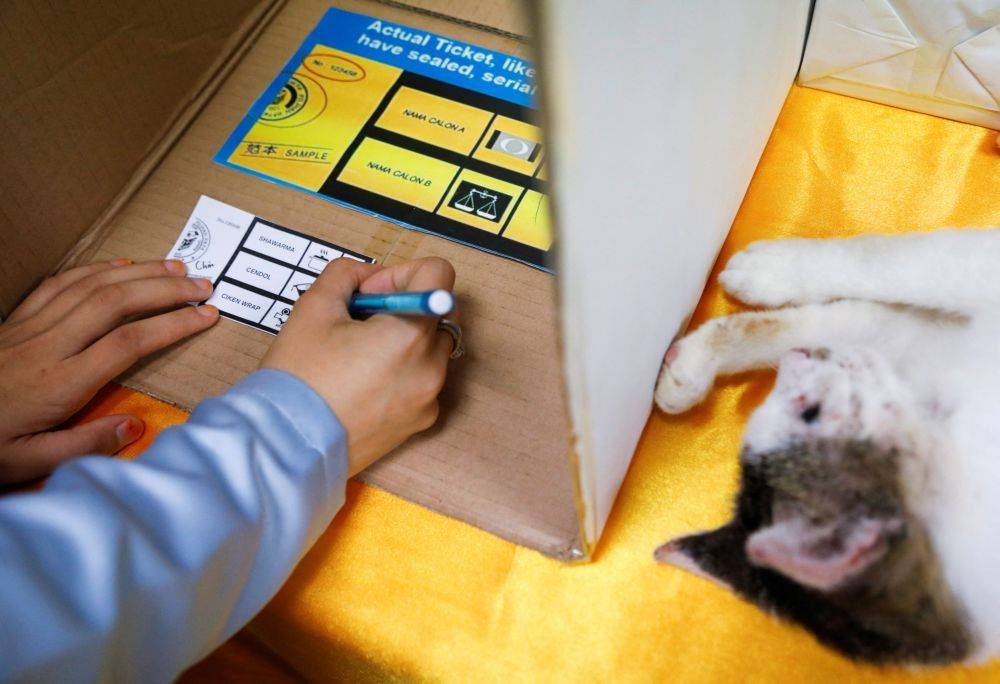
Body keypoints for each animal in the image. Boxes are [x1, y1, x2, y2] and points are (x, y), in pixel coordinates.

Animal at [652, 228, 1000, 664]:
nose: (795, 363)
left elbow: (882, 285)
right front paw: (703, 354)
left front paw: (768, 274)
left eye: (810, 412)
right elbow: (874, 288)